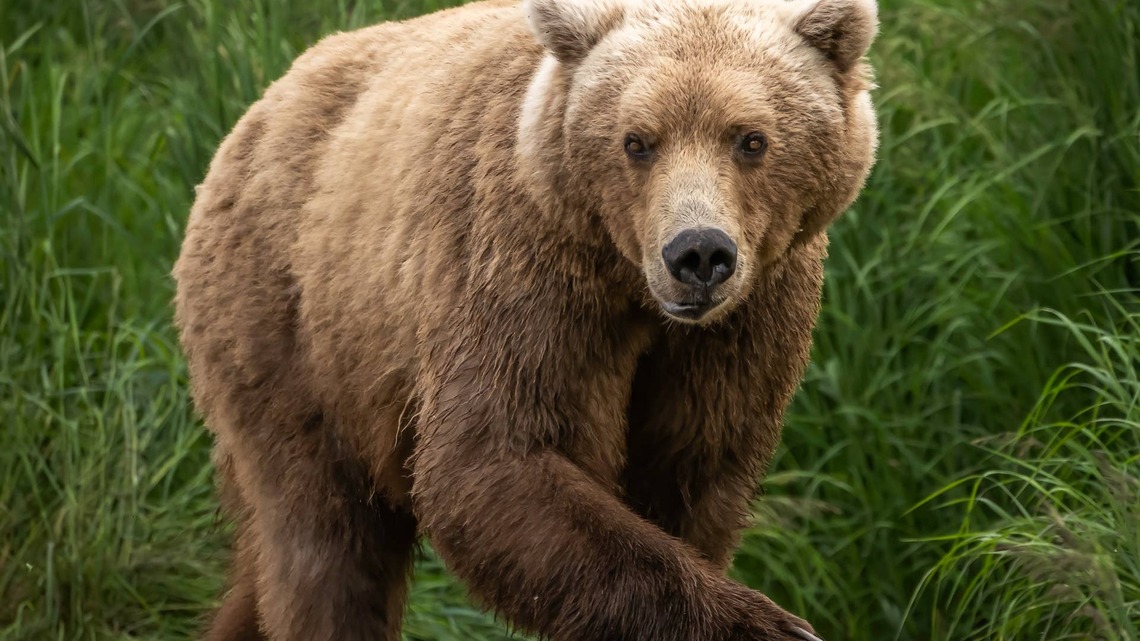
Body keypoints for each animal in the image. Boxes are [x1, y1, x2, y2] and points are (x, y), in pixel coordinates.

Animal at [171, 0, 879, 640]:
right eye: (636, 141)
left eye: (751, 139)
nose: (698, 253)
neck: (632, 288)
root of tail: (259, 109)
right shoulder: (524, 267)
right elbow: (495, 457)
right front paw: (769, 625)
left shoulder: (746, 321)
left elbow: (693, 466)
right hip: (293, 328)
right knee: (325, 546)